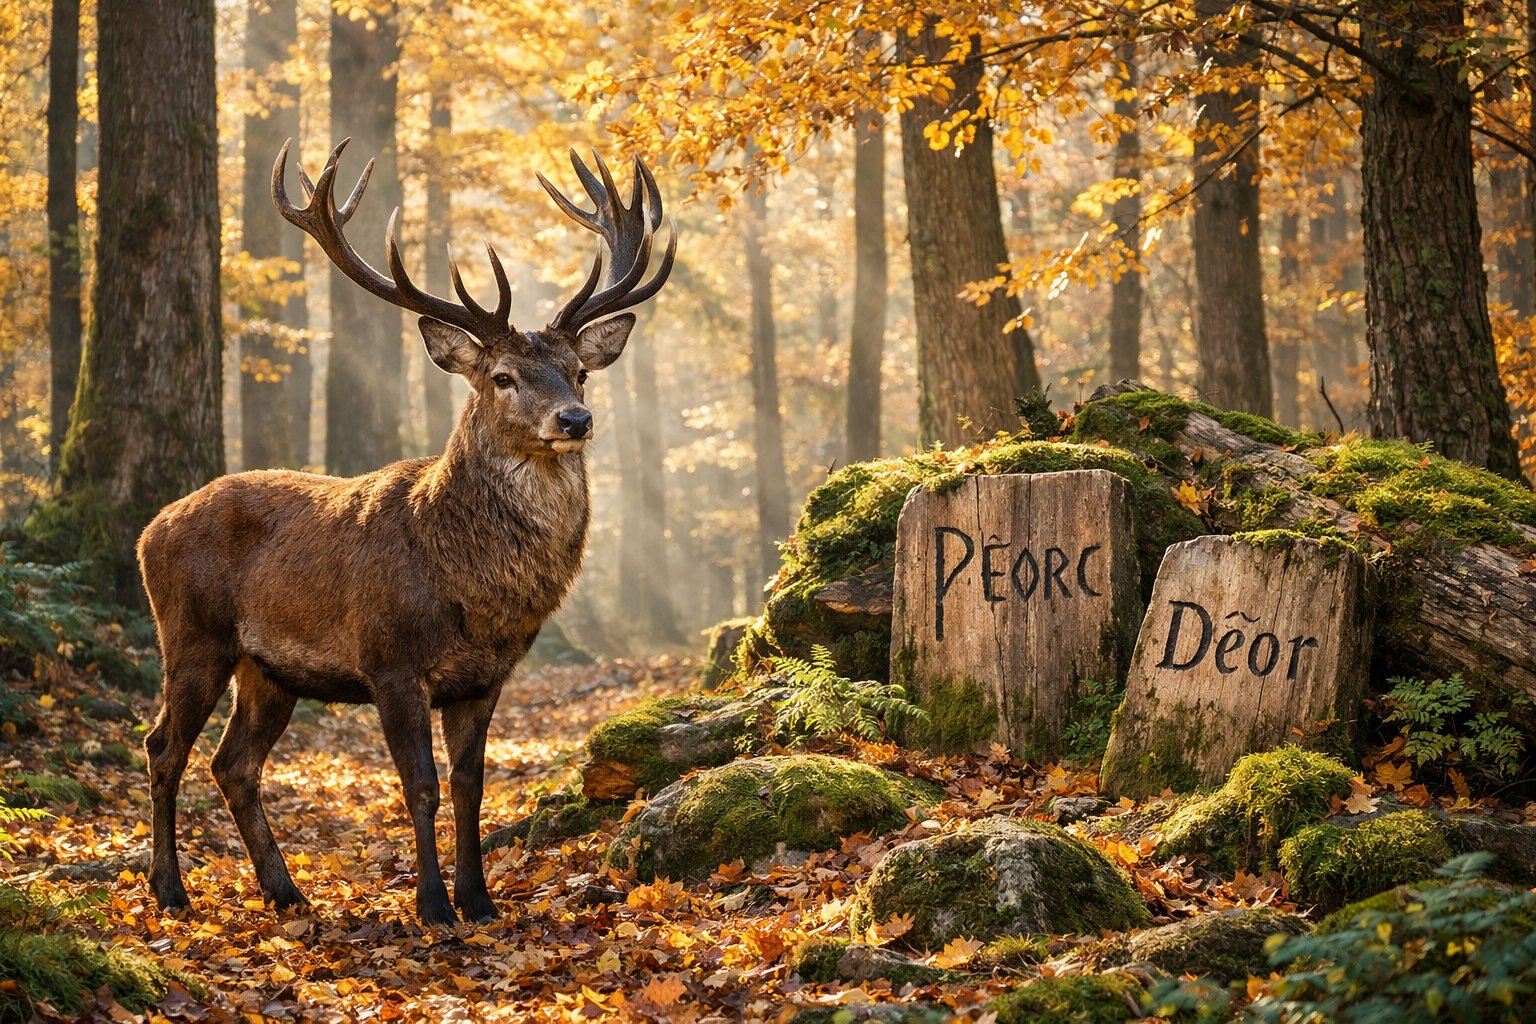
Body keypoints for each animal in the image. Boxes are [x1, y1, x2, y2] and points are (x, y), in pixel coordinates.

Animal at [137, 138, 674, 925]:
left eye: (579, 371)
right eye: (504, 376)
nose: (575, 419)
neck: (472, 590)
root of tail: (149, 529)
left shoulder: (486, 676)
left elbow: (470, 785)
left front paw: (480, 899)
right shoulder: (389, 658)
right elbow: (419, 785)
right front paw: (433, 905)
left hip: (269, 670)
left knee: (232, 763)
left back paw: (286, 891)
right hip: (192, 633)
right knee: (162, 747)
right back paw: (171, 891)